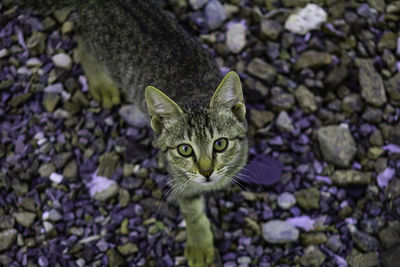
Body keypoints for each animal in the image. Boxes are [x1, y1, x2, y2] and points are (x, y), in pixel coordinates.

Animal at [25, 0, 248, 266]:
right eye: (185, 149)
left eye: (220, 144)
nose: (206, 172)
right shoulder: (179, 179)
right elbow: (192, 212)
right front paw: (199, 245)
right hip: (97, 47)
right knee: (82, 43)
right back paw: (102, 85)